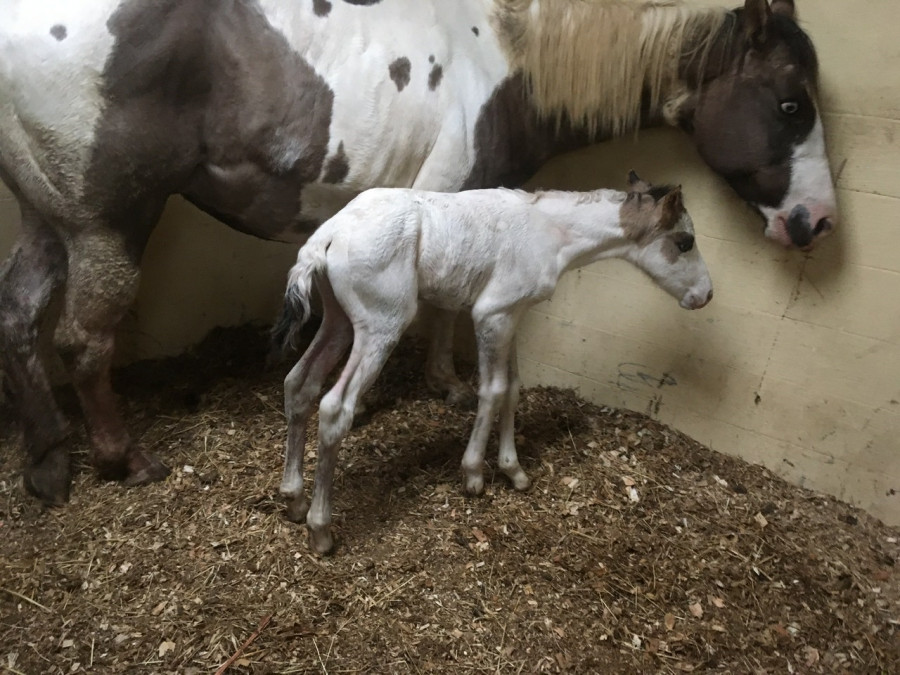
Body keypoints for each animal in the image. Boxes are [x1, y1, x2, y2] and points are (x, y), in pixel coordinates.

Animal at [0, 0, 835, 505]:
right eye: (791, 104)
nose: (816, 220)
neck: (513, 60)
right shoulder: (453, 198)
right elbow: (445, 316)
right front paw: (447, 389)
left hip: (47, 218)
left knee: (19, 318)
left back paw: (48, 459)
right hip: (105, 223)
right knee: (82, 341)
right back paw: (123, 458)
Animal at [274, 173, 713, 553]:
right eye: (685, 242)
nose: (706, 296)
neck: (550, 230)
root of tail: (327, 236)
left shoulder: (511, 316)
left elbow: (513, 389)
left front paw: (513, 470)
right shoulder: (490, 314)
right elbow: (493, 389)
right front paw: (474, 474)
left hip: (338, 321)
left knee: (298, 384)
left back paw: (293, 500)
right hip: (381, 326)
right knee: (335, 408)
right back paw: (320, 529)